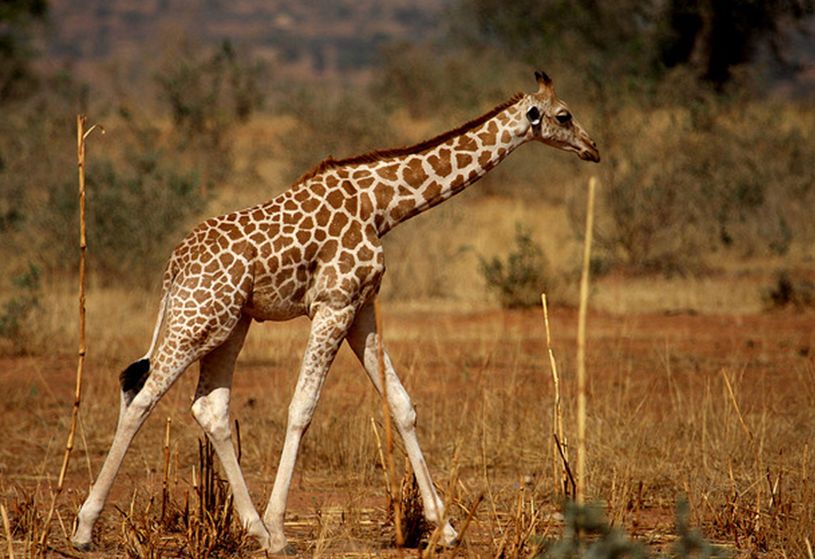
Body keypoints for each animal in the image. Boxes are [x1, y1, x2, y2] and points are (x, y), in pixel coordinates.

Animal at [72, 70, 599, 554]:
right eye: (564, 115)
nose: (593, 148)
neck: (382, 205)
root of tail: (173, 267)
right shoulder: (333, 305)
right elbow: (301, 408)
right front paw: (281, 531)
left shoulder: (361, 307)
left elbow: (401, 405)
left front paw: (445, 529)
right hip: (195, 320)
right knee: (141, 398)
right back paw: (85, 528)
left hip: (229, 325)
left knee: (209, 407)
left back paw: (251, 528)